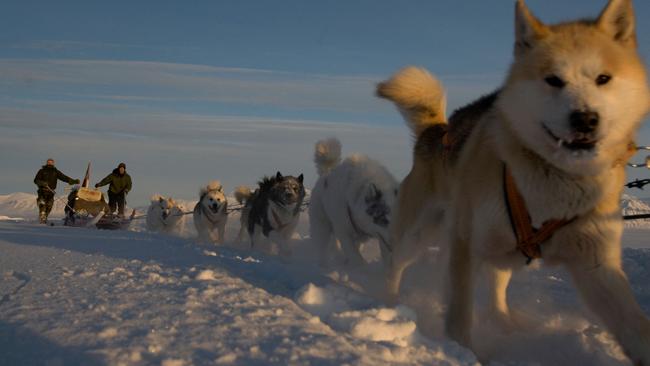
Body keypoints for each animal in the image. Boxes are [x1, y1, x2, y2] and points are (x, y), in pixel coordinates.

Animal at [308, 137, 398, 266]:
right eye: (384, 220)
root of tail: (325, 174)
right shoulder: (344, 233)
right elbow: (356, 258)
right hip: (321, 226)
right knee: (321, 246)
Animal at [374, 0, 648, 364]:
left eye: (603, 78)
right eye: (553, 80)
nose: (586, 119)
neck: (553, 185)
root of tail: (438, 130)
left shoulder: (597, 264)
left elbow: (635, 327)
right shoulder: (465, 244)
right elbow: (459, 314)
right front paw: (462, 353)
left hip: (503, 249)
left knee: (496, 291)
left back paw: (508, 324)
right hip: (420, 233)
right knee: (395, 264)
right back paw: (388, 304)